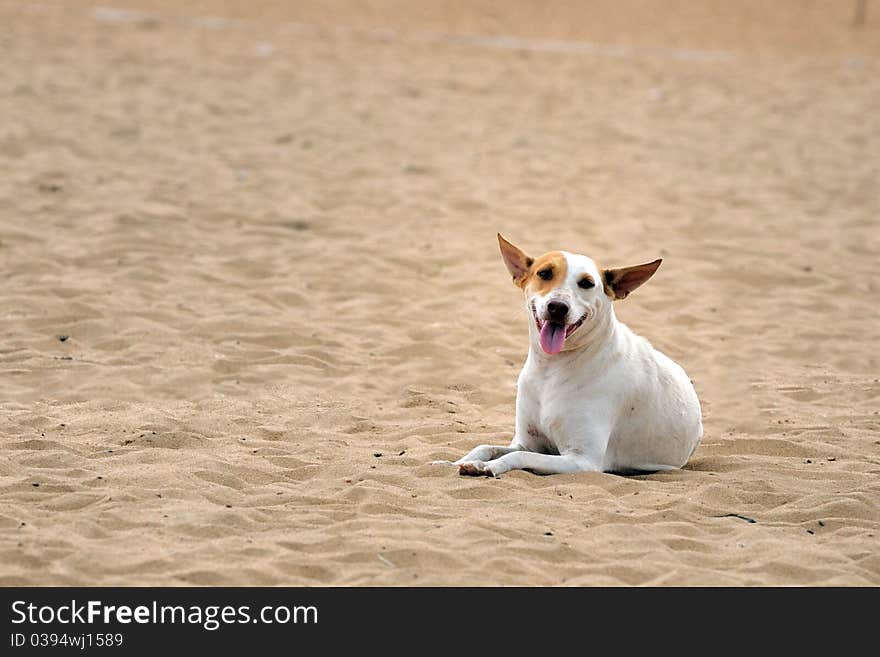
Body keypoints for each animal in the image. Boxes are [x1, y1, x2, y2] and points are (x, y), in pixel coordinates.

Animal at [444, 234, 704, 476]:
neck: (551, 368)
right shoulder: (528, 442)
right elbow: (485, 446)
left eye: (587, 283)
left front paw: (488, 467)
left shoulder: (582, 460)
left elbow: (518, 456)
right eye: (545, 273)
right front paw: (452, 463)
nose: (557, 307)